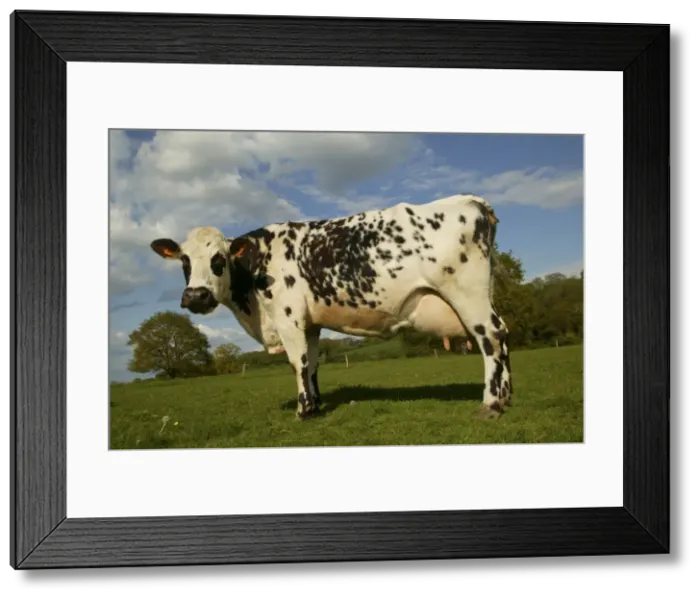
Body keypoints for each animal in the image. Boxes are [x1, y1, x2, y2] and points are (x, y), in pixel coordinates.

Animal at [150, 193, 513, 421]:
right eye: (184, 260)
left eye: (219, 259)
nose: (196, 296)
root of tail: (470, 201)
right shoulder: (310, 323)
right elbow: (311, 364)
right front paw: (316, 403)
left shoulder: (289, 318)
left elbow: (297, 363)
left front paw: (303, 411)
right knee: (501, 337)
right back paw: (506, 397)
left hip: (468, 294)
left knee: (492, 337)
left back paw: (491, 404)